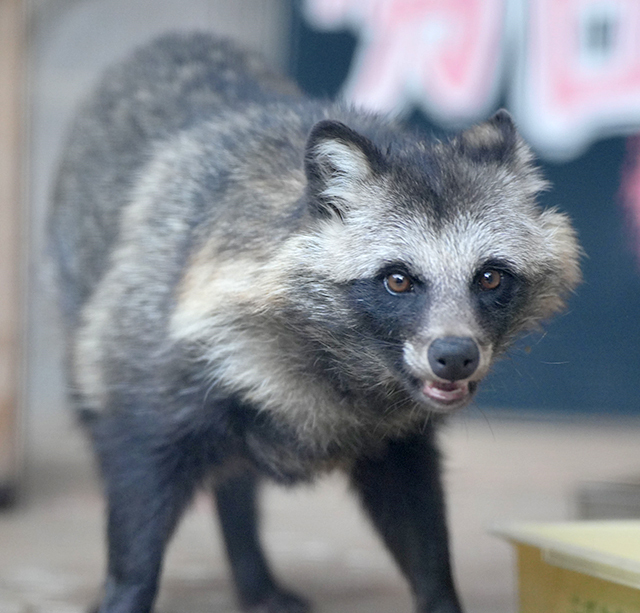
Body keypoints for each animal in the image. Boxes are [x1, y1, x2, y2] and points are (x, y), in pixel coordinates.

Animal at [48, 32, 580, 612]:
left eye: (489, 278)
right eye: (398, 280)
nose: (455, 356)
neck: (334, 363)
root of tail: (175, 39)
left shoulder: (399, 444)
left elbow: (423, 537)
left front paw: (441, 596)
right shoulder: (149, 389)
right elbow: (137, 535)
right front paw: (122, 593)